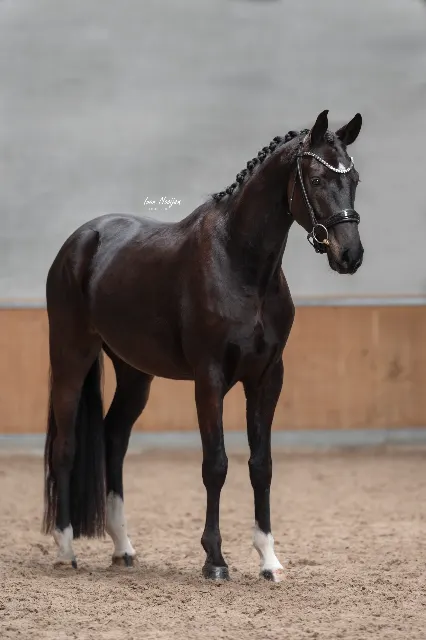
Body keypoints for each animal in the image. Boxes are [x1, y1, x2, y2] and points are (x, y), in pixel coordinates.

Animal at [42, 109, 364, 582]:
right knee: (66, 447)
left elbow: (261, 465)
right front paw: (215, 559)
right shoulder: (209, 378)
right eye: (317, 178)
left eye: (354, 177)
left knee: (113, 437)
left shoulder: (267, 377)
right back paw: (66, 550)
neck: (239, 264)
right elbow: (216, 464)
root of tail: (82, 240)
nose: (350, 255)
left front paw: (269, 560)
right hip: (71, 354)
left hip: (134, 372)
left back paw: (123, 548)